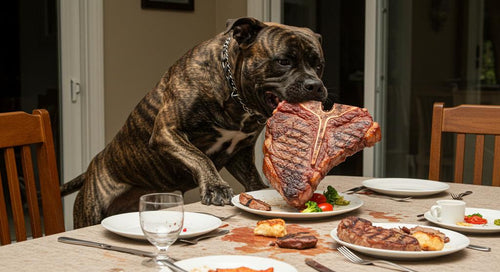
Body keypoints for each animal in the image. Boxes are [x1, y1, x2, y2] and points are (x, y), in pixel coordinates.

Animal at [62, 17, 328, 227]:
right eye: (283, 61)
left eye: (319, 65)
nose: (315, 86)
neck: (234, 94)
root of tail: (95, 164)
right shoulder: (167, 132)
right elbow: (199, 157)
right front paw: (216, 187)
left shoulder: (240, 152)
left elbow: (252, 178)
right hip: (90, 211)